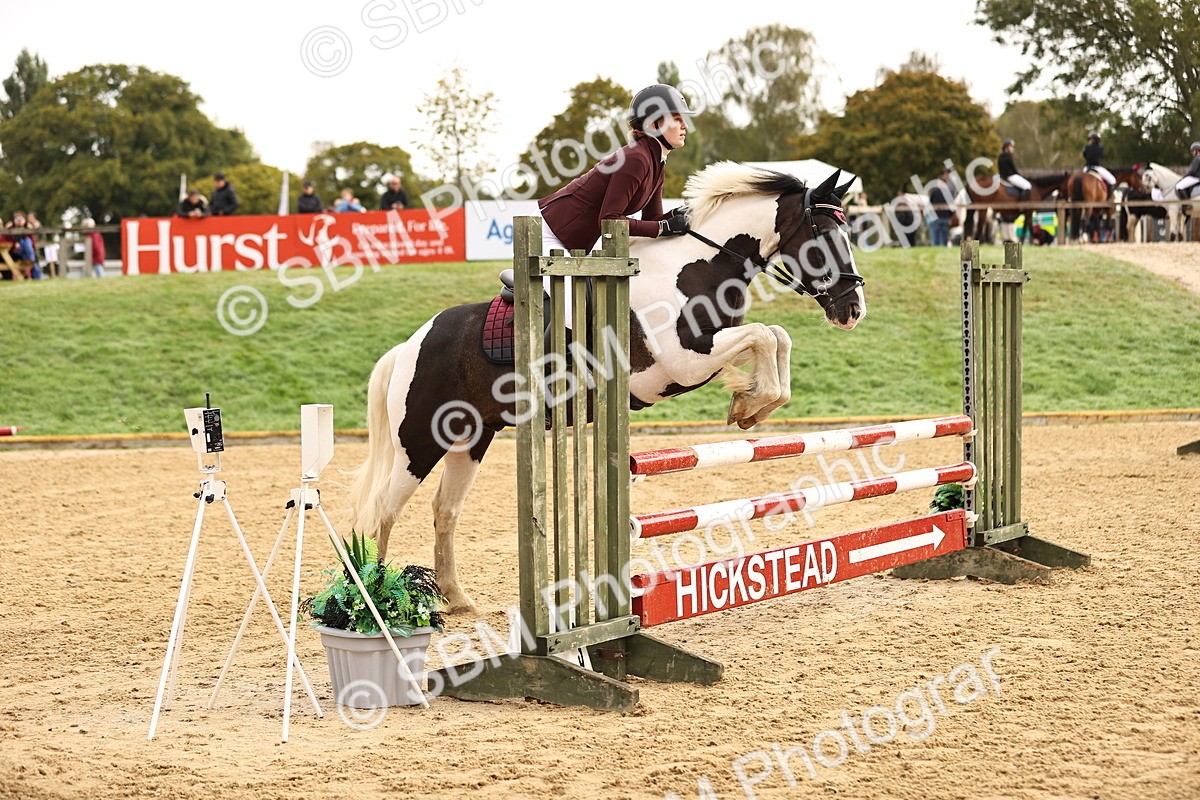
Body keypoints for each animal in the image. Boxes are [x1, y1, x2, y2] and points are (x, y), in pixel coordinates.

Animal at [347, 163, 867, 611]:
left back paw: (456, 599)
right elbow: (765, 334)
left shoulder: (704, 356)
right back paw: (376, 601)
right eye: (825, 236)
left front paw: (751, 403)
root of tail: (410, 344)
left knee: (445, 511)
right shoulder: (684, 361)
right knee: (382, 512)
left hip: (472, 438)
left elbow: (775, 338)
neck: (698, 267)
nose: (852, 311)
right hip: (419, 441)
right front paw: (751, 403)